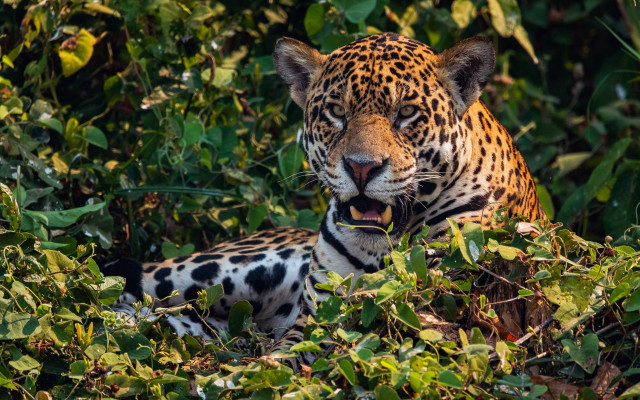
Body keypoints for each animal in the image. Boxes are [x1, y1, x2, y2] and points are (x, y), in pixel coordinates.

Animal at [105, 32, 545, 365]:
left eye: (406, 113)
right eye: (336, 111)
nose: (362, 168)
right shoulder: (318, 314)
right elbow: (285, 357)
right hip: (215, 270)